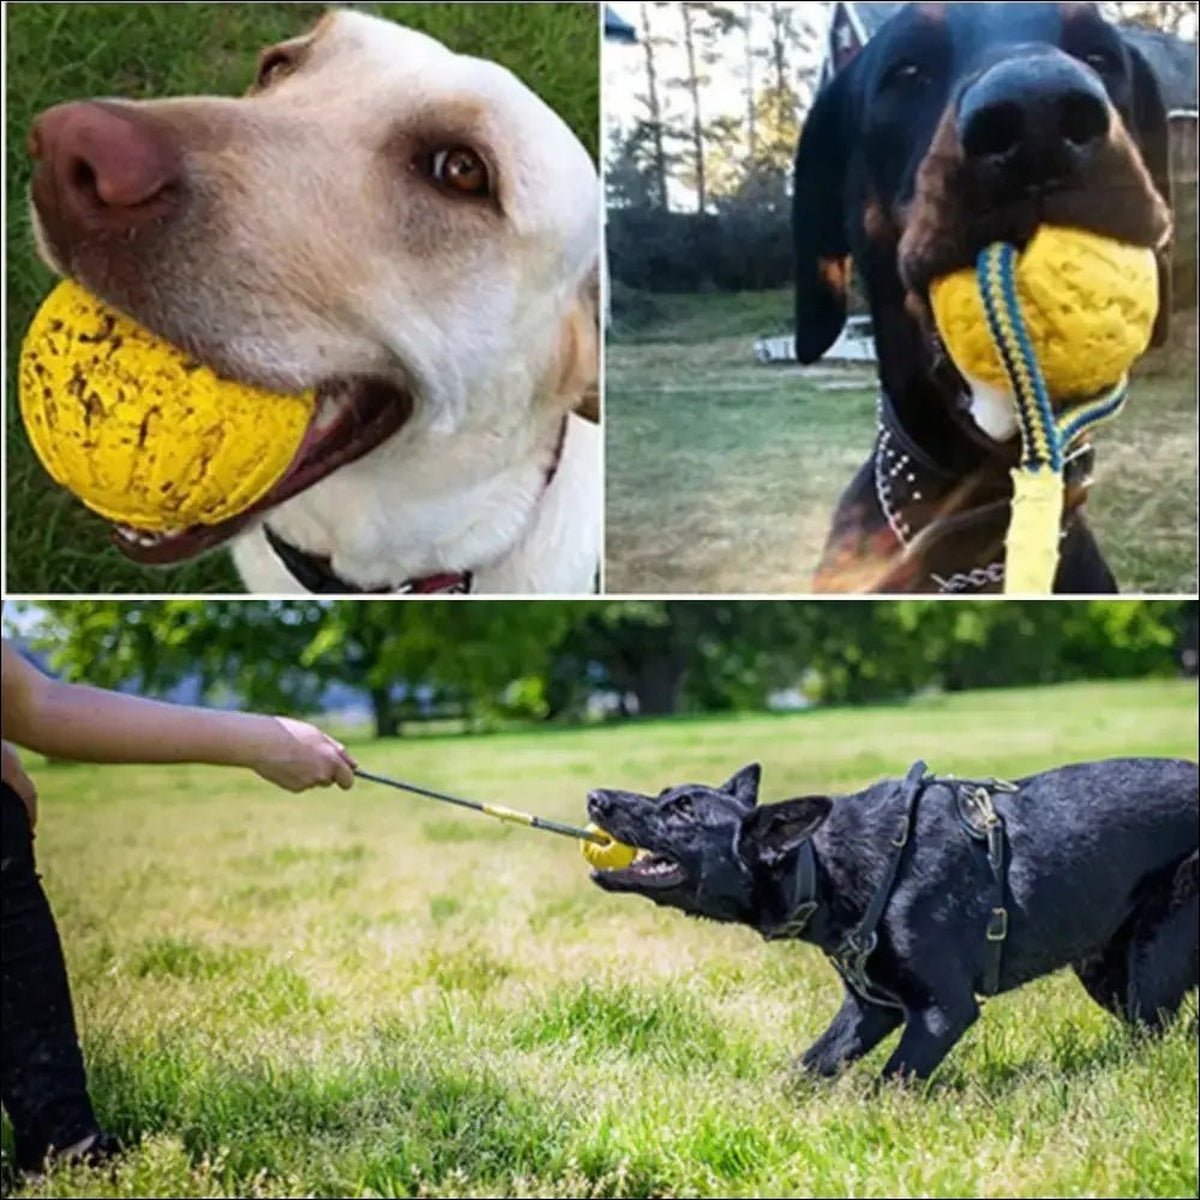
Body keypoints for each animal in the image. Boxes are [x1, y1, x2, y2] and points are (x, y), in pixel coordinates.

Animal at [590, 763, 1200, 1084]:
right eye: (666, 795)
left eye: (683, 812)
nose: (596, 798)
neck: (824, 865)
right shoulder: (871, 1009)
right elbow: (807, 1069)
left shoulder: (942, 1012)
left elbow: (889, 1086)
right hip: (1107, 974)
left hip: (1149, 969)